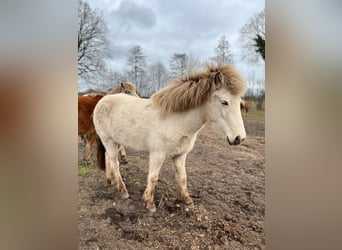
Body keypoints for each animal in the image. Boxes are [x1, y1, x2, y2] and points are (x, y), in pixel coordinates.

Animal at [93, 63, 246, 212]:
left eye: (239, 103)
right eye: (224, 102)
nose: (239, 138)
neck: (176, 120)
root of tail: (103, 100)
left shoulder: (180, 155)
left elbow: (182, 177)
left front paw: (187, 200)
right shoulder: (157, 154)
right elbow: (153, 177)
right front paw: (149, 203)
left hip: (115, 142)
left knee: (108, 158)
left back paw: (110, 181)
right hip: (108, 140)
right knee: (115, 163)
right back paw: (123, 191)